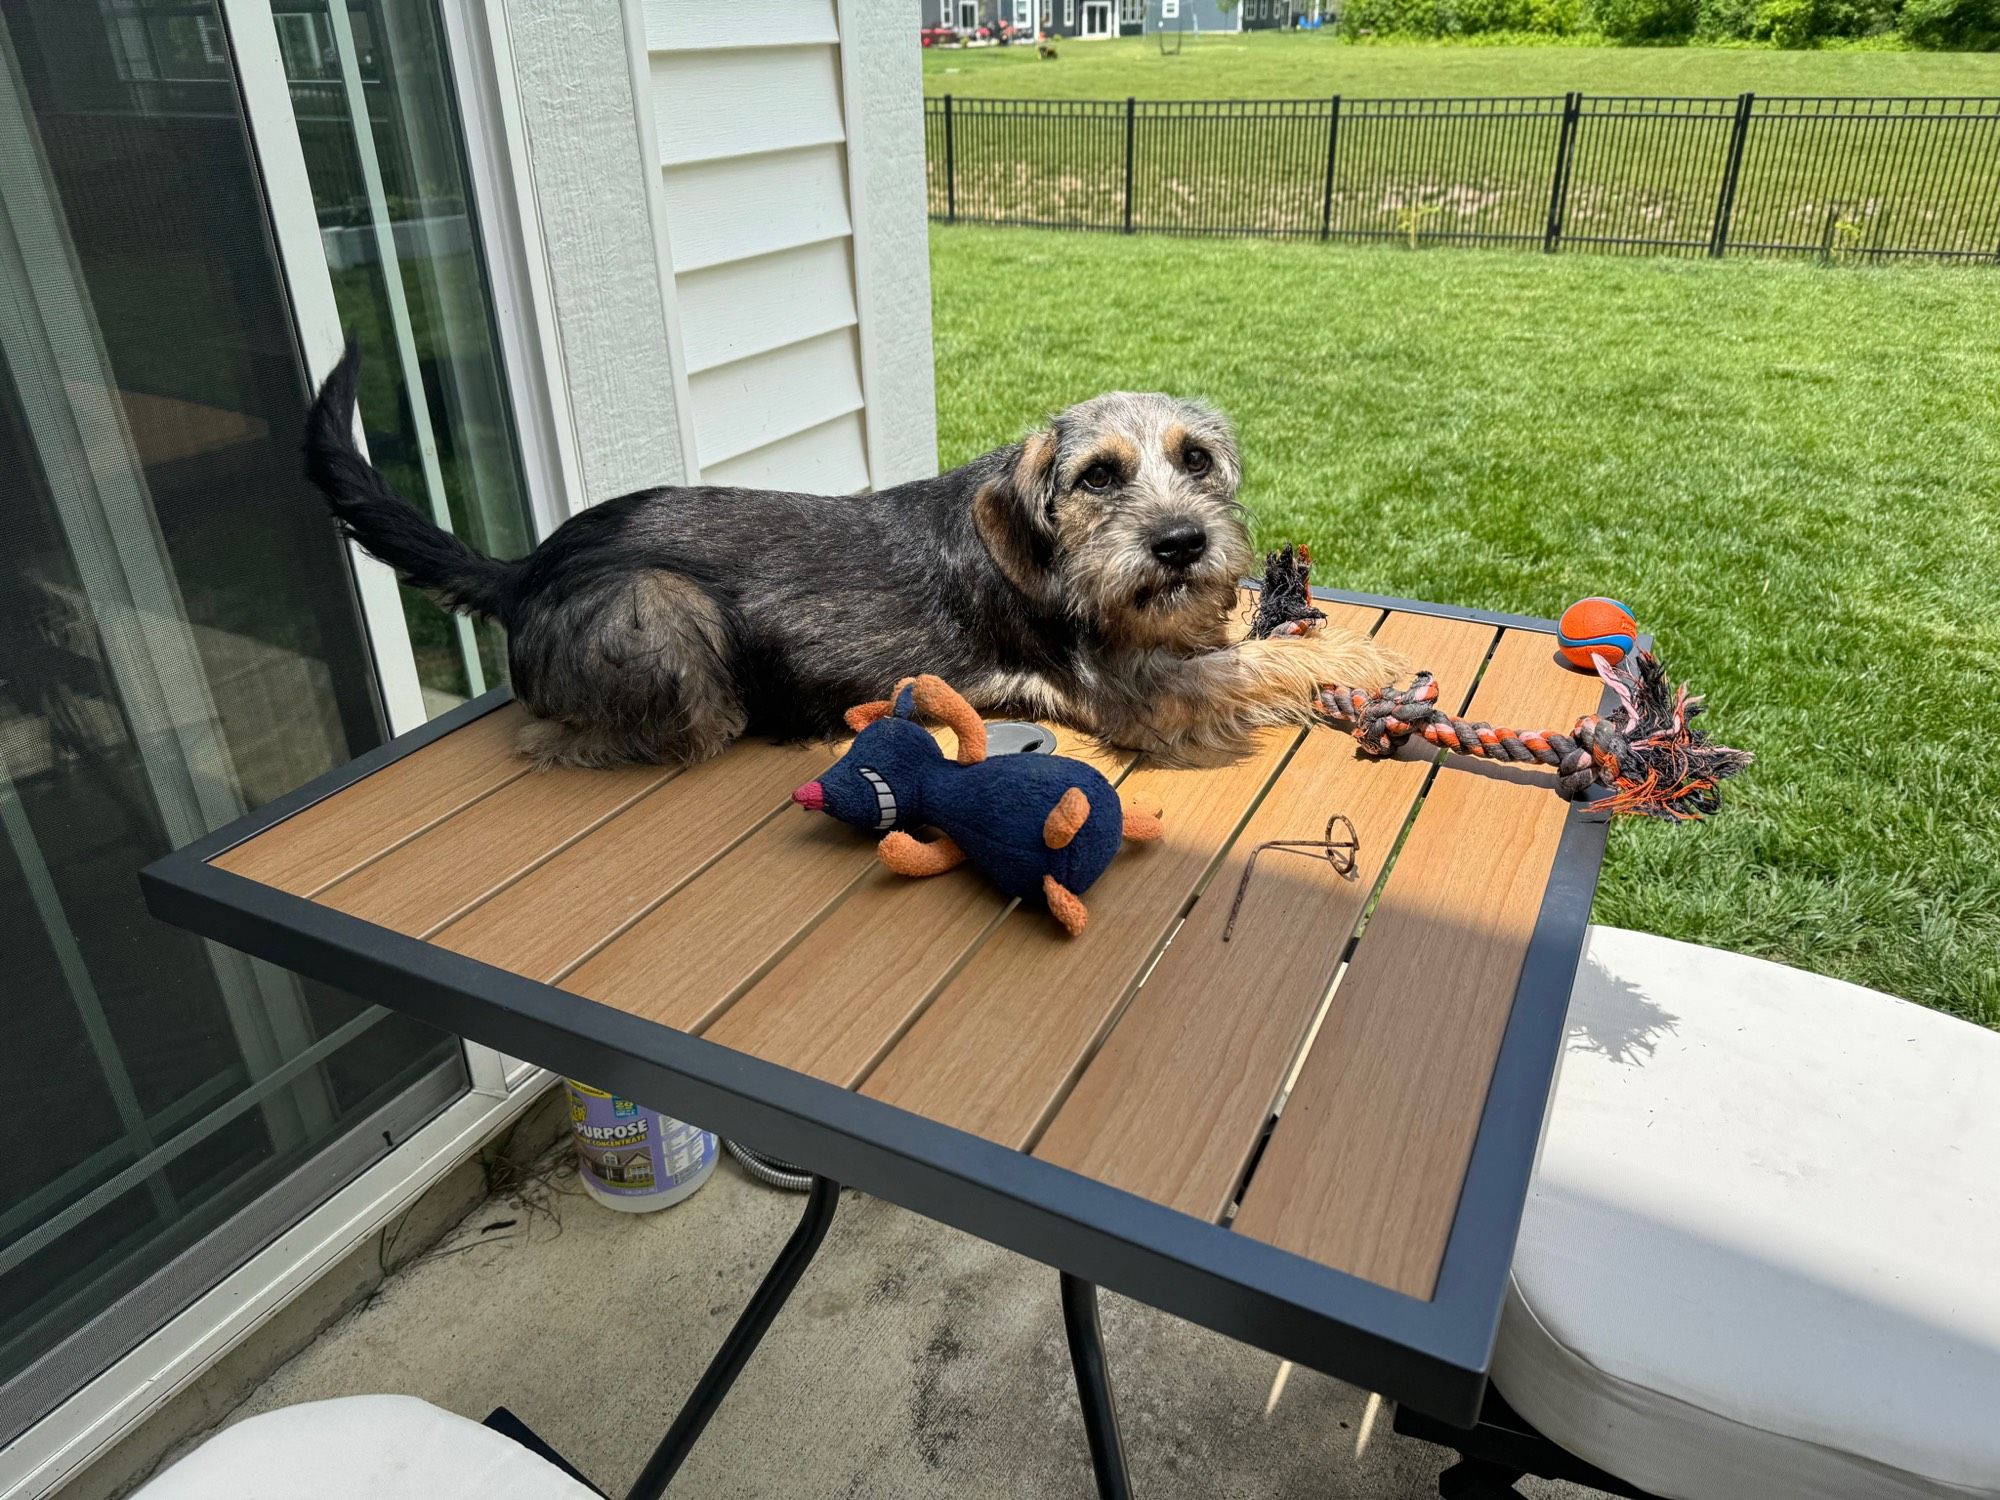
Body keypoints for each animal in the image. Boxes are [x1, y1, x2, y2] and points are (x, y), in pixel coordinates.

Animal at [304, 340, 1400, 764]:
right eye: (1097, 476)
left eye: (1196, 459)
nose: (1180, 544)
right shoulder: (1136, 695)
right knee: (556, 735)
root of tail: (525, 566)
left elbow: (1241, 643)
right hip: (661, 613)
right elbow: (1255, 663)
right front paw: (1359, 657)